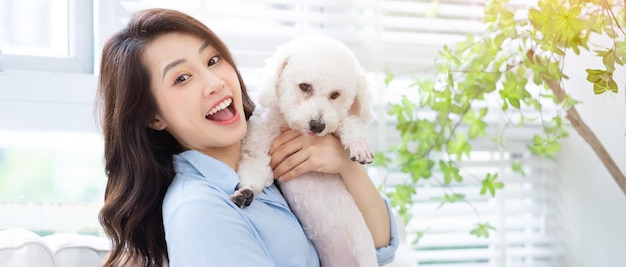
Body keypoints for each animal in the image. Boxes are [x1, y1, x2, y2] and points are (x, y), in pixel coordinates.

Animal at [230, 36, 376, 267]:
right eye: (304, 86)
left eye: (335, 95)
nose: (317, 125)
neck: (289, 124)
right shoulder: (258, 149)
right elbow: (256, 169)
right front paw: (246, 192)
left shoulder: (337, 121)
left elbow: (349, 121)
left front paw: (360, 145)